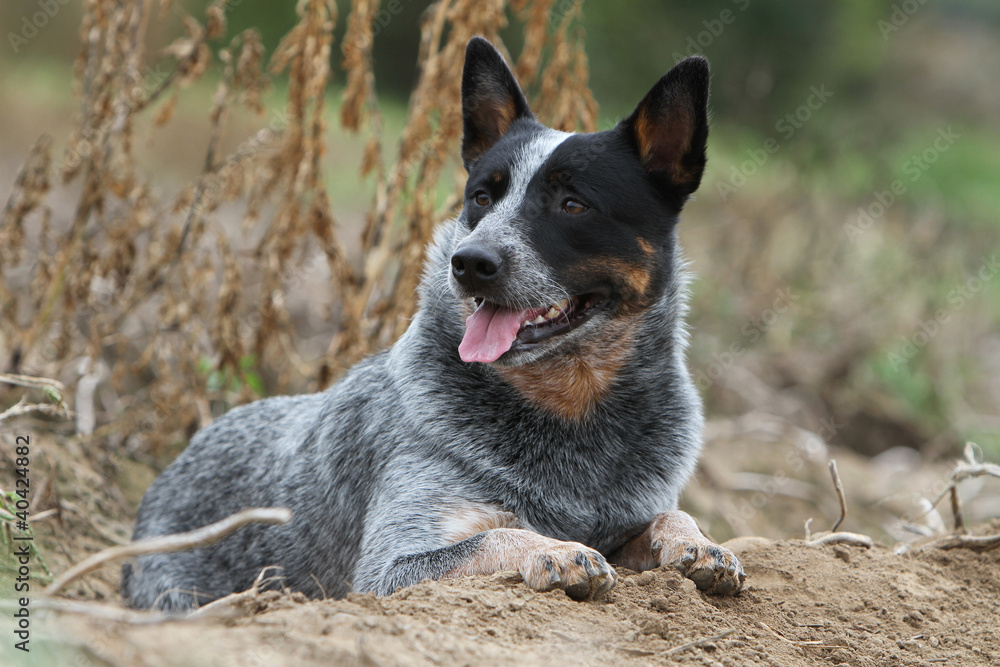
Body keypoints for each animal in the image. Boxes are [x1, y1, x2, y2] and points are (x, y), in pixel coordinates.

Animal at [121, 35, 748, 612]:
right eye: (481, 197)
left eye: (573, 204)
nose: (470, 261)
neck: (572, 413)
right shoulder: (389, 569)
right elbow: (499, 535)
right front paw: (558, 550)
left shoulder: (629, 516)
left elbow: (669, 516)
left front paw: (701, 544)